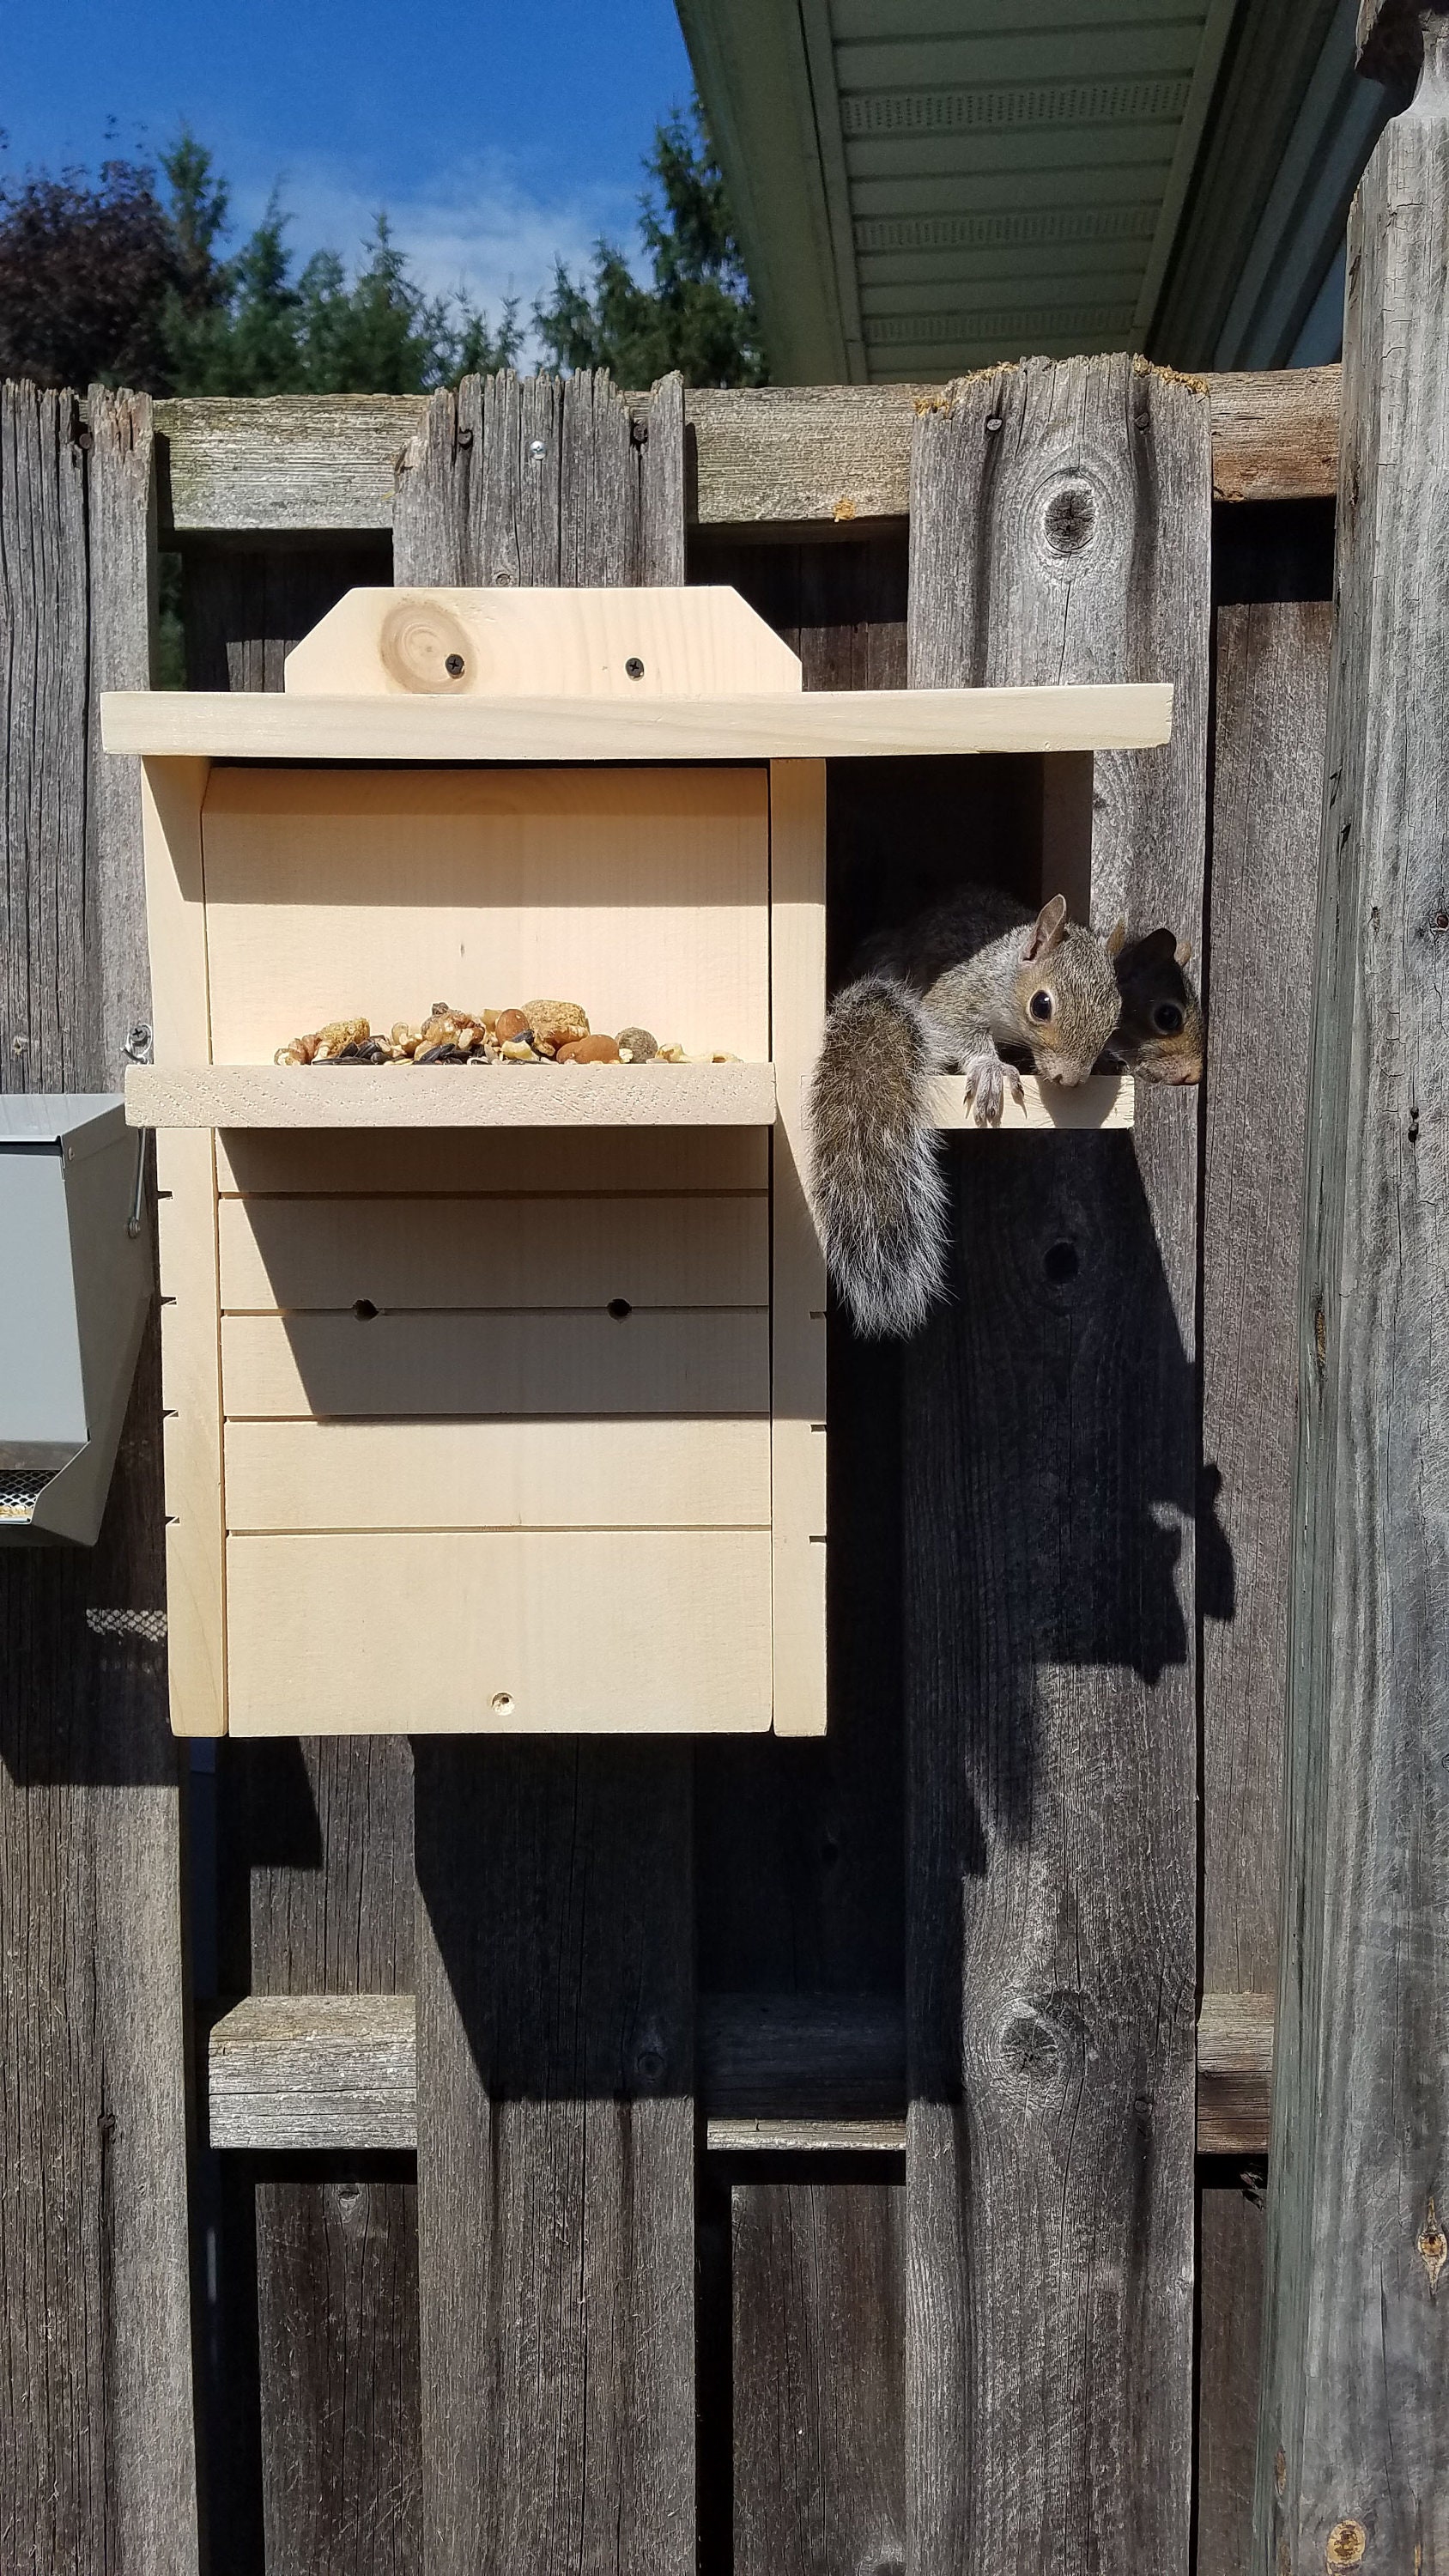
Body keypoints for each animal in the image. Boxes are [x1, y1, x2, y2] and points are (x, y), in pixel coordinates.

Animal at [808, 885, 1126, 1339]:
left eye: (1116, 1012)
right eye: (1041, 1005)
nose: (1069, 1079)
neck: (1007, 974)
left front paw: (1108, 1062)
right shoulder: (957, 992)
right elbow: (952, 1026)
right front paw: (989, 1067)